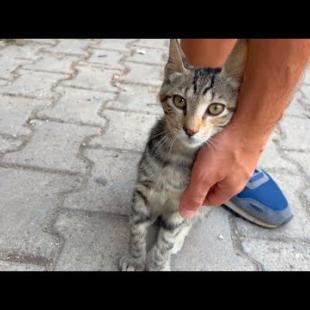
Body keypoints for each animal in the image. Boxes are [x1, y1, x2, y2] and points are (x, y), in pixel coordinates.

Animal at [118, 39, 247, 272]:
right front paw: (135, 258)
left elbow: (166, 240)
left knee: (191, 221)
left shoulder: (185, 200)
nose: (190, 130)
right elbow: (137, 228)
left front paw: (159, 264)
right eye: (179, 101)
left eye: (215, 108)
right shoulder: (143, 190)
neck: (177, 158)